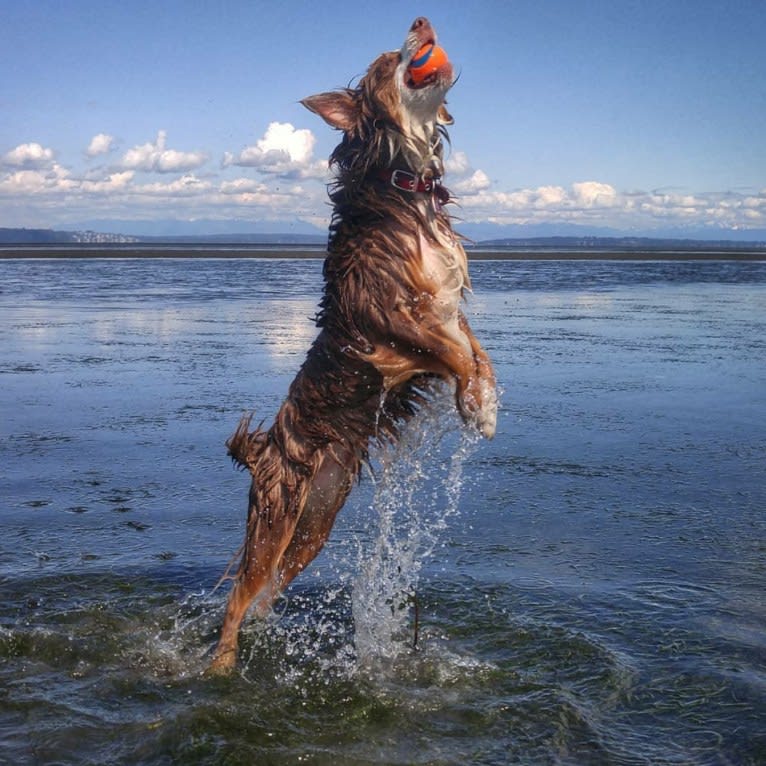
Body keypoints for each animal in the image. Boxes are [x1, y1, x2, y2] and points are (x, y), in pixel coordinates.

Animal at [210, 18, 498, 676]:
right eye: (387, 61)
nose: (421, 22)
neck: (406, 185)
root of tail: (264, 449)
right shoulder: (389, 323)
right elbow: (453, 356)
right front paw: (472, 405)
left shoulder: (449, 306)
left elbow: (477, 350)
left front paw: (488, 400)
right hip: (280, 514)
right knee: (236, 599)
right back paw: (218, 667)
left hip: (318, 517)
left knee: (267, 593)